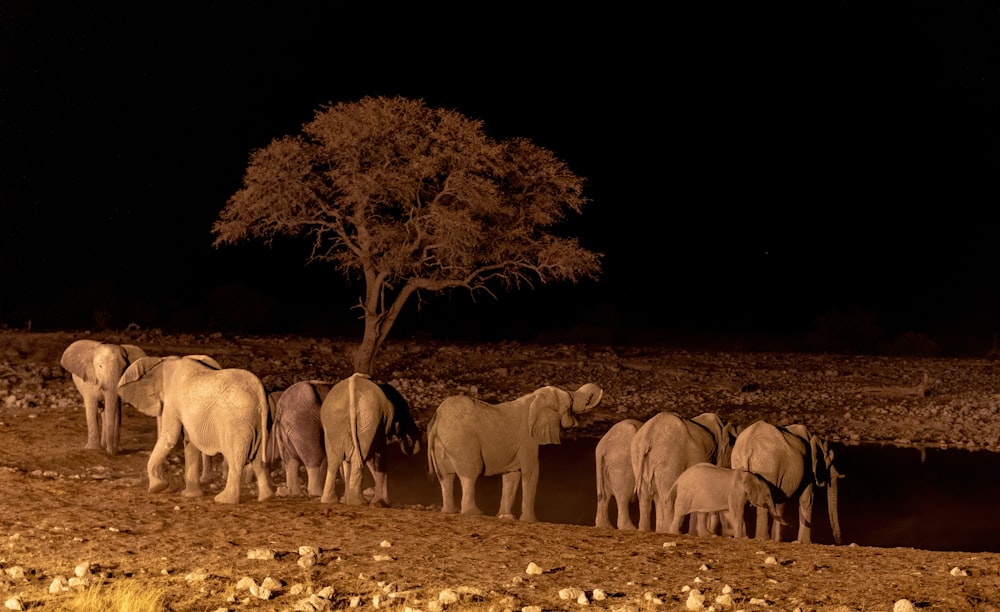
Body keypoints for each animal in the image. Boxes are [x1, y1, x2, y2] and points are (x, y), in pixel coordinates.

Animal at [116, 352, 274, 504]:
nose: (161, 485)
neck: (163, 362)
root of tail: (260, 392)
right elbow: (189, 443)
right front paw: (189, 495)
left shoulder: (173, 401)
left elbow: (170, 437)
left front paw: (157, 487)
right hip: (262, 421)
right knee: (258, 459)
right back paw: (266, 497)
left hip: (236, 422)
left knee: (237, 459)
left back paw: (224, 500)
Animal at [316, 372, 418, 506]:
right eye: (405, 410)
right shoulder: (379, 426)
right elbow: (381, 454)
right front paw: (382, 503)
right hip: (367, 419)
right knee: (358, 457)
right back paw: (358, 502)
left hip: (336, 421)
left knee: (336, 458)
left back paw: (331, 501)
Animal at [428, 382, 604, 520]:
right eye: (570, 401)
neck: (533, 399)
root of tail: (437, 418)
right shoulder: (527, 438)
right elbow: (531, 471)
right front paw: (530, 521)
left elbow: (512, 475)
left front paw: (506, 517)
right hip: (461, 440)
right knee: (471, 472)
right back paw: (474, 513)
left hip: (443, 443)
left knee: (446, 476)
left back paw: (449, 511)